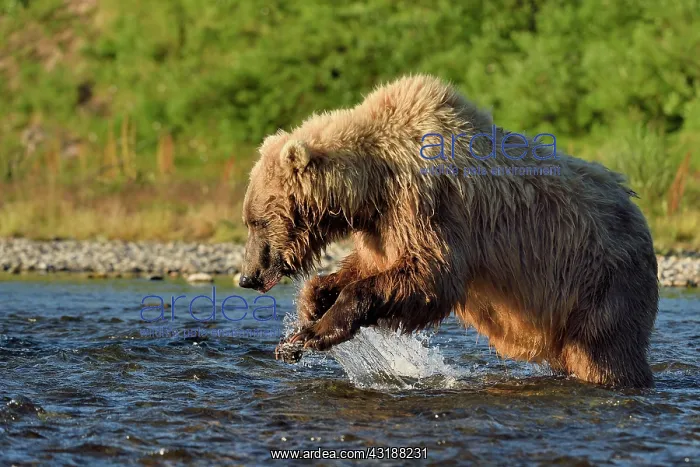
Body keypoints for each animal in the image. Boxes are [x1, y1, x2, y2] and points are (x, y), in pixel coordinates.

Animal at [238, 74, 659, 388]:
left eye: (256, 221)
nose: (247, 276)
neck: (373, 183)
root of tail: (637, 210)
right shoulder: (385, 224)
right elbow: (375, 265)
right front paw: (313, 302)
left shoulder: (427, 202)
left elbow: (430, 275)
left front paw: (310, 334)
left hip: (601, 283)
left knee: (602, 352)